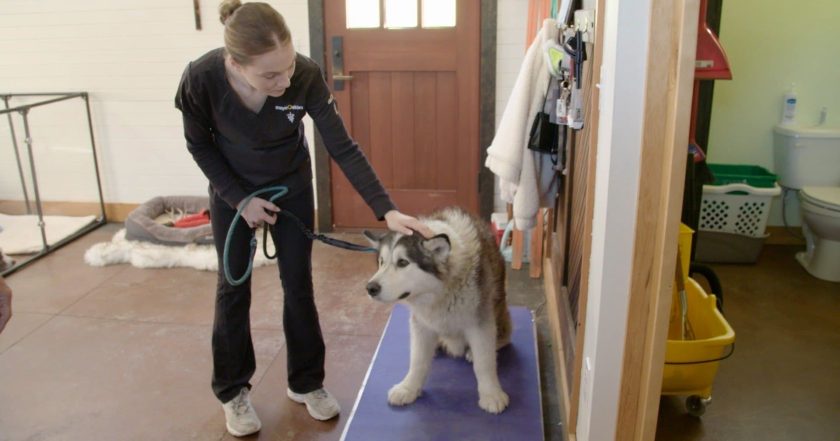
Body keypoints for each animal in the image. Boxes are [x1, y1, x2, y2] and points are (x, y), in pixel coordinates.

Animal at [362, 206, 512, 412]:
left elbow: (484, 362)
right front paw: (408, 388)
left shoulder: (480, 323)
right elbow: (417, 361)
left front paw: (491, 394)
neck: (440, 292)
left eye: (403, 262)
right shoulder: (421, 324)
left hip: (500, 317)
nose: (371, 288)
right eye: (381, 262)